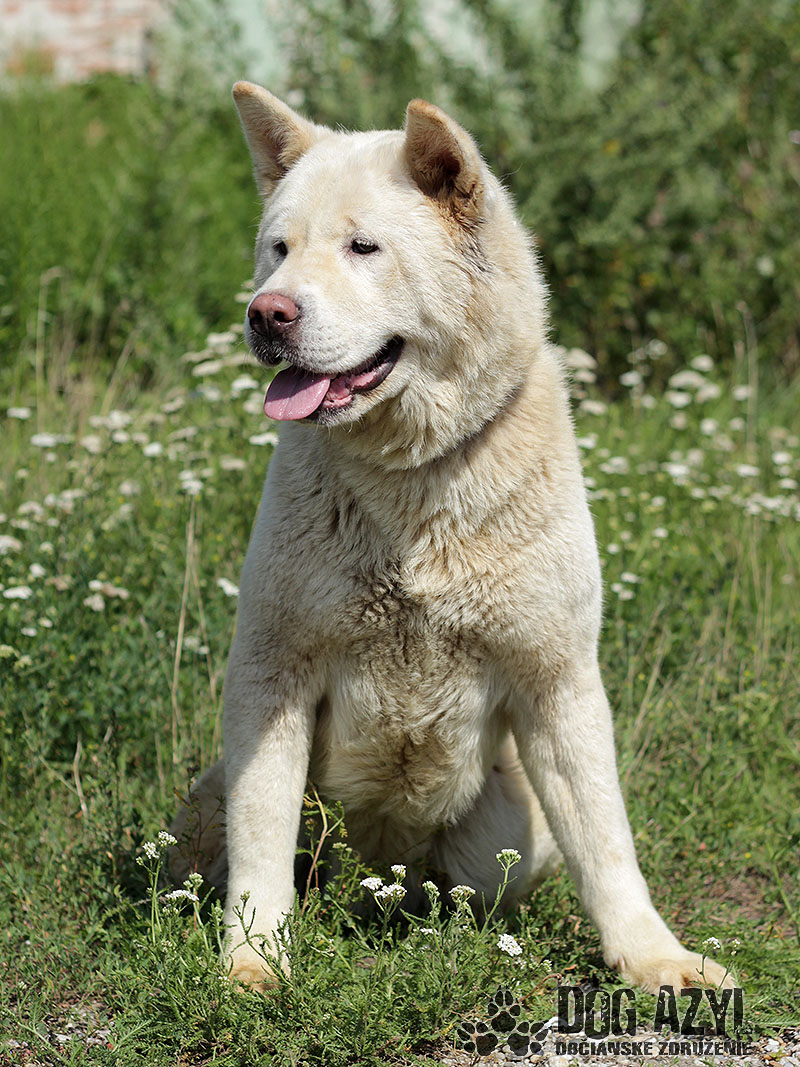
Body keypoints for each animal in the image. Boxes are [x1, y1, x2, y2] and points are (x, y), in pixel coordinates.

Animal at [170, 82, 733, 995]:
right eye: (278, 248)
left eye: (363, 246)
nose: (267, 313)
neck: (413, 479)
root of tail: (378, 881)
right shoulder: (271, 673)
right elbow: (262, 837)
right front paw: (254, 960)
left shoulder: (558, 680)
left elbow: (608, 840)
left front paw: (653, 958)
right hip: (207, 796)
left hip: (510, 832)